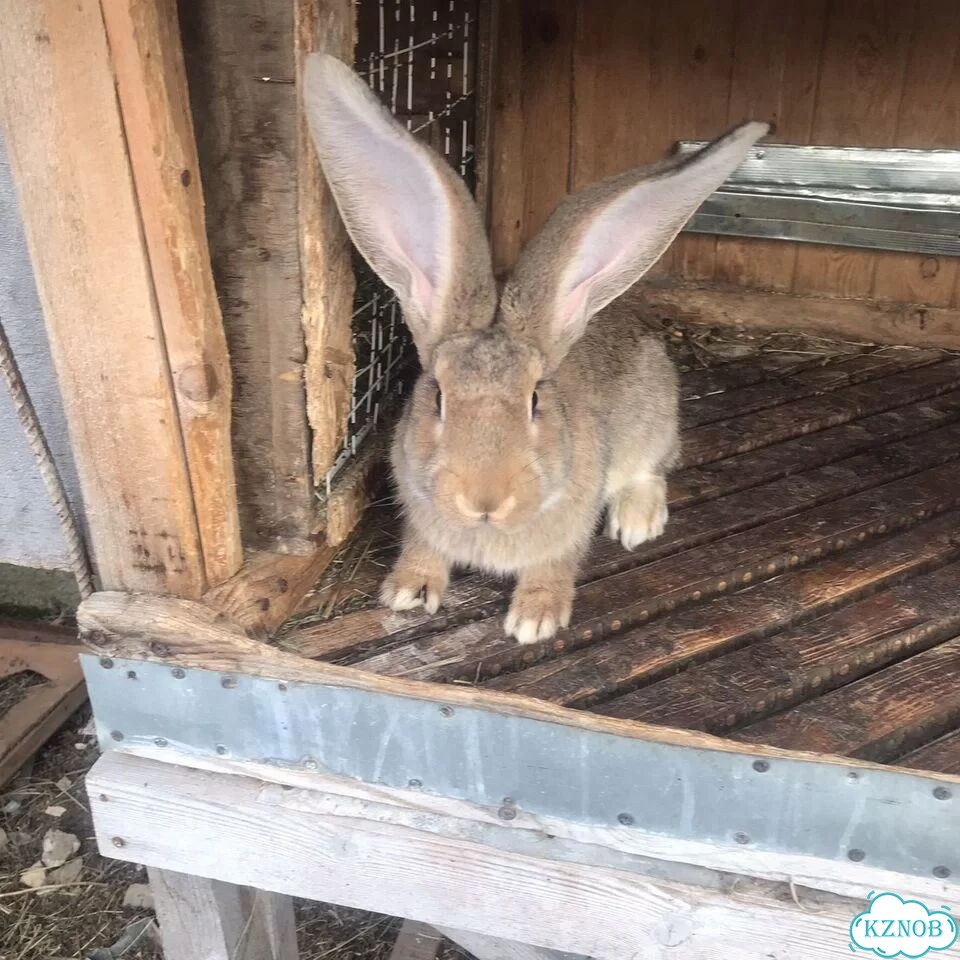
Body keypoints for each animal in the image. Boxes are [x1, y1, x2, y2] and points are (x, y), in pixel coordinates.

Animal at [303, 53, 769, 645]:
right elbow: (422, 548)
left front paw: (535, 619)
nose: (484, 499)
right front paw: (408, 590)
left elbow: (556, 565)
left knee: (652, 468)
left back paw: (638, 521)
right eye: (438, 399)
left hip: (653, 420)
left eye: (534, 402)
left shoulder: (568, 527)